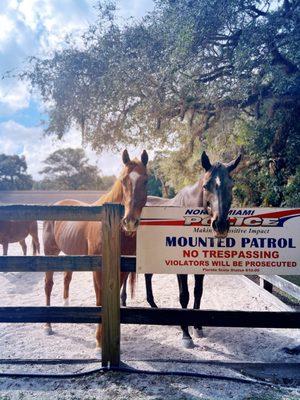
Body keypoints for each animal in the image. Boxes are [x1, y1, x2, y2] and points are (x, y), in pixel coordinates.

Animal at [43, 148, 149, 348]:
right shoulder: (98, 270)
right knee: (48, 285)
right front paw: (100, 340)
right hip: (49, 254)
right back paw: (47, 325)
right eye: (123, 180)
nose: (130, 221)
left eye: (146, 180)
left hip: (71, 256)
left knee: (66, 279)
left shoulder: (122, 269)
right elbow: (100, 298)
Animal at [120, 150, 240, 346]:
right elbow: (184, 295)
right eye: (206, 186)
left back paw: (154, 307)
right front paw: (186, 335)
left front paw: (197, 327)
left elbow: (198, 293)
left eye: (231, 185)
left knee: (146, 276)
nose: (220, 225)